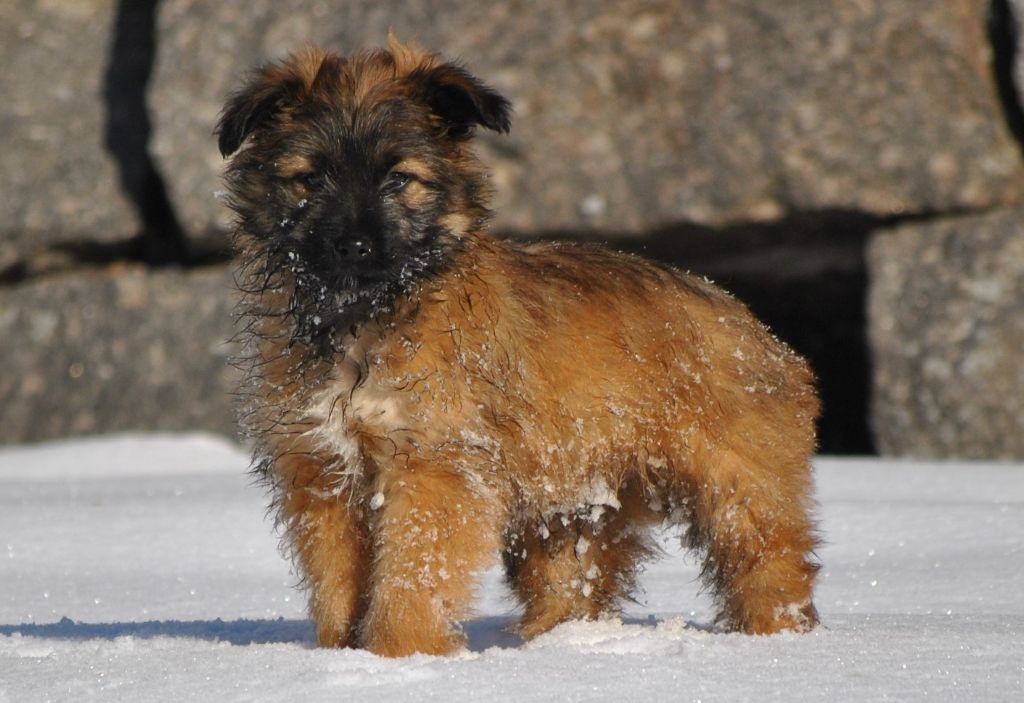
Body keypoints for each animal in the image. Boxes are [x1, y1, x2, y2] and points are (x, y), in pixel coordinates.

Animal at [218, 38, 823, 658]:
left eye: (400, 178)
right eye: (310, 179)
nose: (353, 246)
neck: (366, 320)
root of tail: (755, 327)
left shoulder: (434, 470)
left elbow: (411, 576)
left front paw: (397, 654)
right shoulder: (324, 474)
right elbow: (339, 582)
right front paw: (342, 655)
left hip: (738, 484)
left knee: (771, 562)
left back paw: (777, 641)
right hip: (571, 510)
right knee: (573, 583)